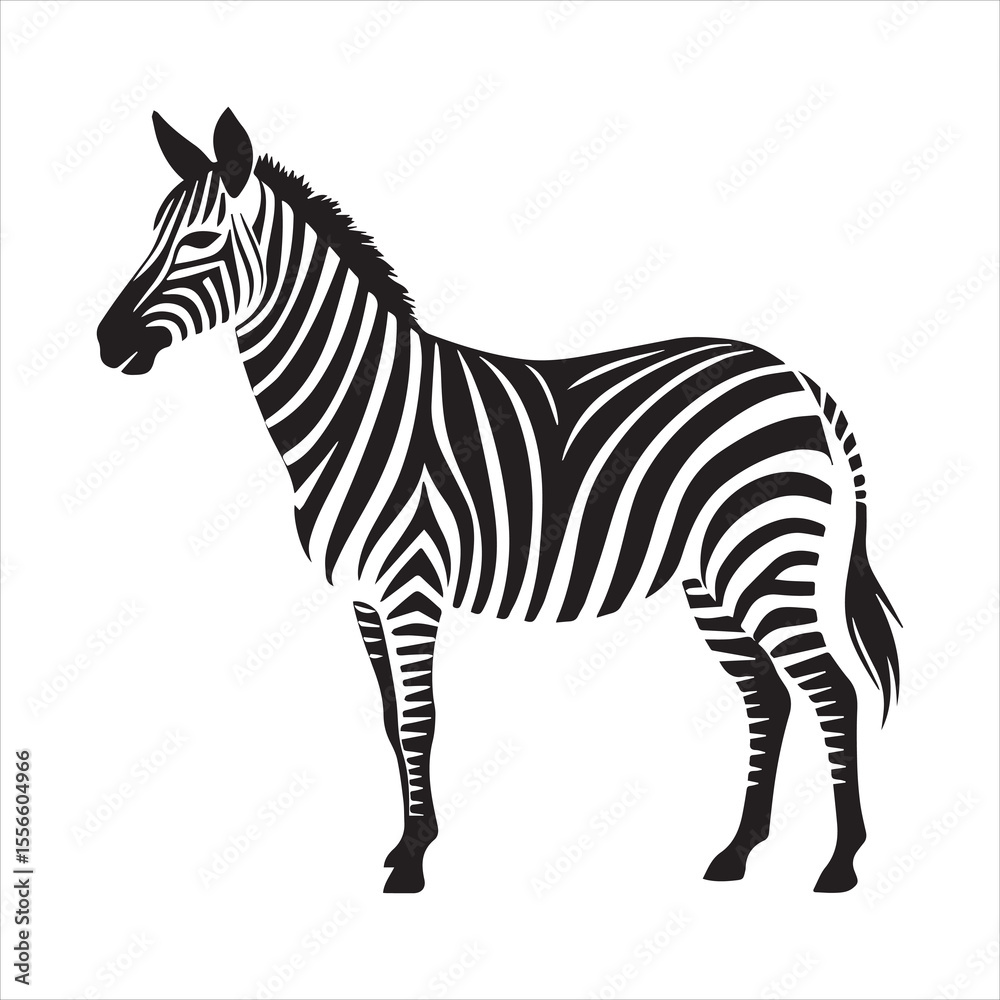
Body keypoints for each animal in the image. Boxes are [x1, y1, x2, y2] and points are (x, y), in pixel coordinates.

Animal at [97, 109, 901, 894]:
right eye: (151, 233)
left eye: (201, 240)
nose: (107, 341)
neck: (357, 409)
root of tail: (795, 376)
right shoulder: (362, 597)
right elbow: (389, 721)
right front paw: (407, 841)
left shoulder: (411, 585)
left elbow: (419, 719)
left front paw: (414, 861)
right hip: (713, 577)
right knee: (768, 697)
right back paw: (737, 853)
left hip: (767, 558)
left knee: (832, 692)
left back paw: (840, 864)